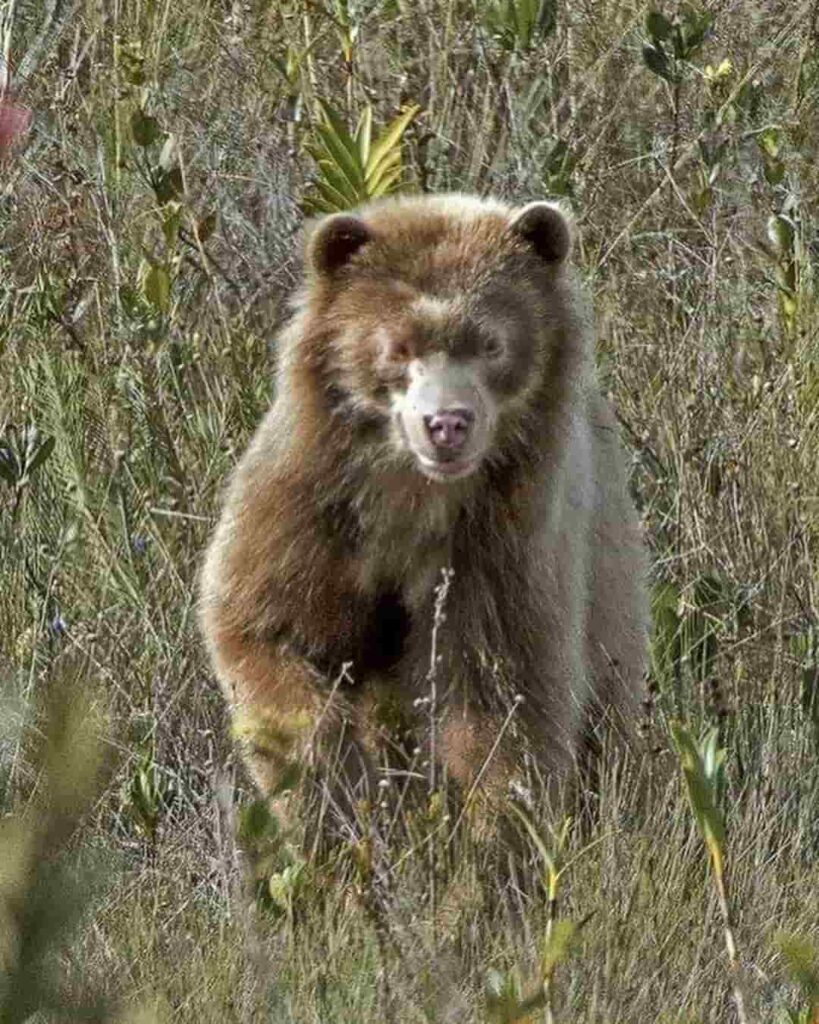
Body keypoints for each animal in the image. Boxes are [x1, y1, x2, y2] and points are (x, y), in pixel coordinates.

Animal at [198, 193, 649, 831]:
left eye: (491, 343)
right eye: (398, 345)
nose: (447, 423)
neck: (411, 497)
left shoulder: (503, 544)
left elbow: (498, 696)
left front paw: (493, 831)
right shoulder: (310, 510)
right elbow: (269, 632)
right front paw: (335, 799)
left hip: (608, 586)